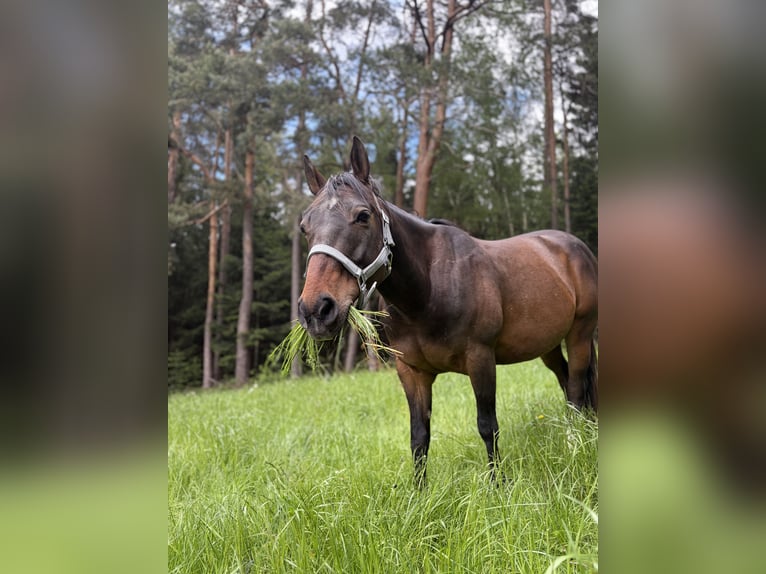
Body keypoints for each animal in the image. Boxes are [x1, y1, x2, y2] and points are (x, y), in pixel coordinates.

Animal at [298, 137, 598, 485]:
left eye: (362, 216)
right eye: (304, 227)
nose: (316, 310)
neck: (427, 291)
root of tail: (573, 246)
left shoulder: (481, 359)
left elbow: (487, 425)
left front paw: (498, 484)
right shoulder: (411, 372)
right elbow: (419, 436)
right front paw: (419, 492)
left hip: (580, 335)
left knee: (576, 389)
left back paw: (575, 446)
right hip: (547, 344)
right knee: (566, 383)